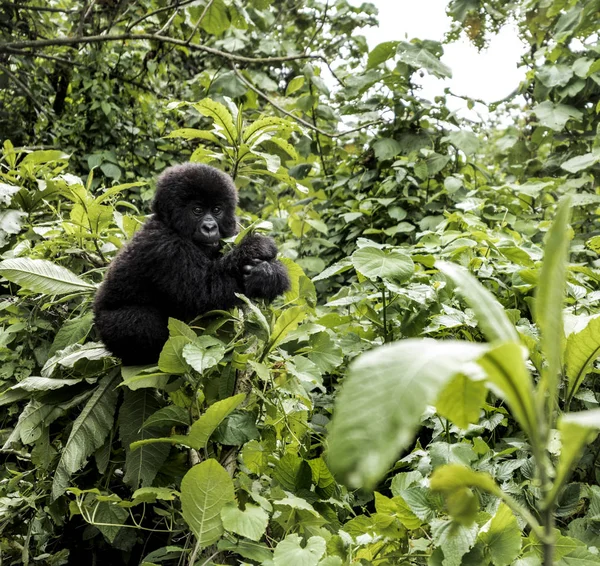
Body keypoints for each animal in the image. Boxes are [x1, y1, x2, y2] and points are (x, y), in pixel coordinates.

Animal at [94, 164, 290, 368]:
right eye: (197, 210)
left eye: (217, 210)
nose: (210, 227)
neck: (170, 224)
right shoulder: (164, 247)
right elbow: (206, 292)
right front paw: (256, 248)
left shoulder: (233, 231)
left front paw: (270, 275)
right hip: (107, 328)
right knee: (138, 319)